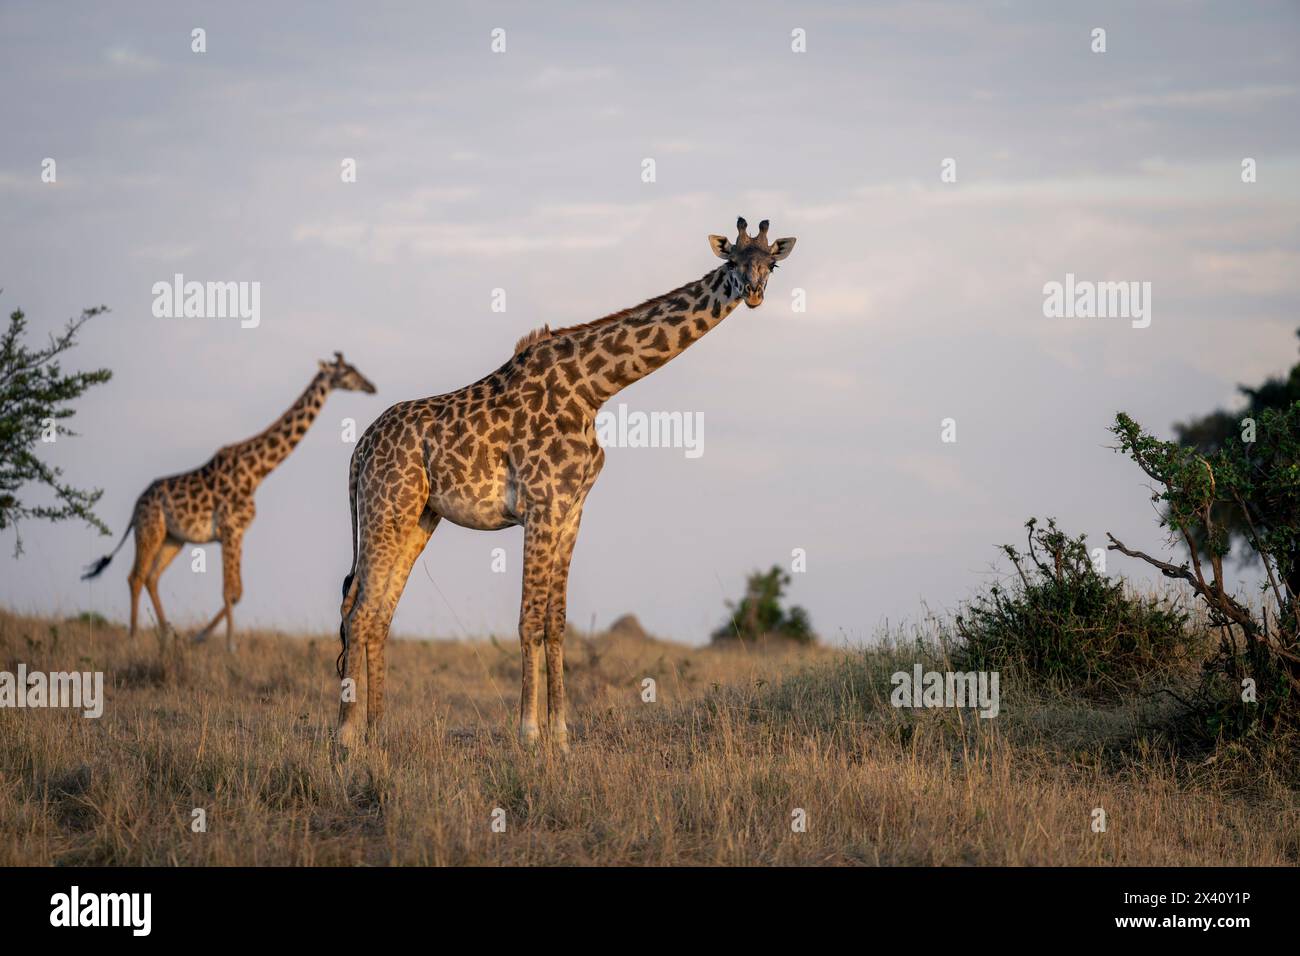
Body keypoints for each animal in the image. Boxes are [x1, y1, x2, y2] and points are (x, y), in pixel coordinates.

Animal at [83, 353, 377, 650]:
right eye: (347, 372)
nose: (371, 386)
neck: (256, 473)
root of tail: (135, 507)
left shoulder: (238, 532)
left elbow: (237, 592)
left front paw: (200, 637)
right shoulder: (230, 529)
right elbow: (230, 592)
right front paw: (229, 645)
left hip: (173, 539)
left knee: (152, 578)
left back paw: (166, 637)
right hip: (149, 530)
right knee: (136, 577)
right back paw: (133, 639)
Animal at [337, 217, 796, 751]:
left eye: (771, 264)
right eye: (733, 261)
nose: (754, 293)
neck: (594, 389)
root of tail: (358, 452)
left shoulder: (571, 510)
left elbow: (555, 622)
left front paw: (560, 734)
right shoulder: (540, 505)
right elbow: (528, 619)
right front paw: (529, 732)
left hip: (417, 517)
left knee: (377, 611)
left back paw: (377, 731)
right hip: (387, 507)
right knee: (360, 611)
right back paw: (346, 736)